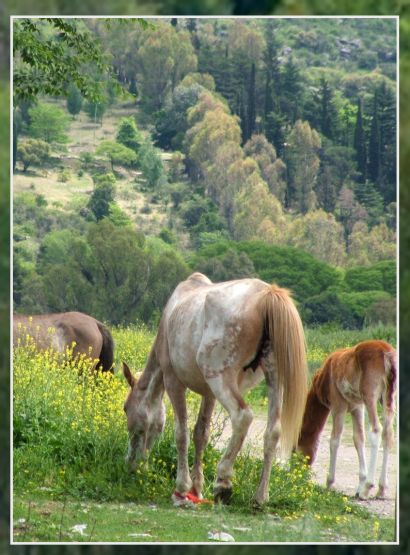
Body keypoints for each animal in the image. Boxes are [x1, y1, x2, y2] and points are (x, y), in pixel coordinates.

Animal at [122, 274, 308, 508]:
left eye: (125, 408)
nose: (131, 463)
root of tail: (267, 295)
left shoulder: (173, 382)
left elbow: (181, 433)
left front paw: (181, 489)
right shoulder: (209, 393)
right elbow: (201, 433)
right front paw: (196, 488)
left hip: (220, 378)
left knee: (242, 416)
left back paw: (223, 482)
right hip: (273, 378)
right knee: (272, 432)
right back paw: (260, 497)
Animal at [298, 340, 398, 502]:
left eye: (295, 448)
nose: (299, 472)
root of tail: (388, 354)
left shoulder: (338, 404)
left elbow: (334, 439)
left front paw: (330, 482)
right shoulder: (357, 407)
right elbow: (358, 439)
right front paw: (359, 485)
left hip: (370, 396)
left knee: (376, 430)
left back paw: (367, 488)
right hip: (388, 398)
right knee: (388, 434)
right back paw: (381, 489)